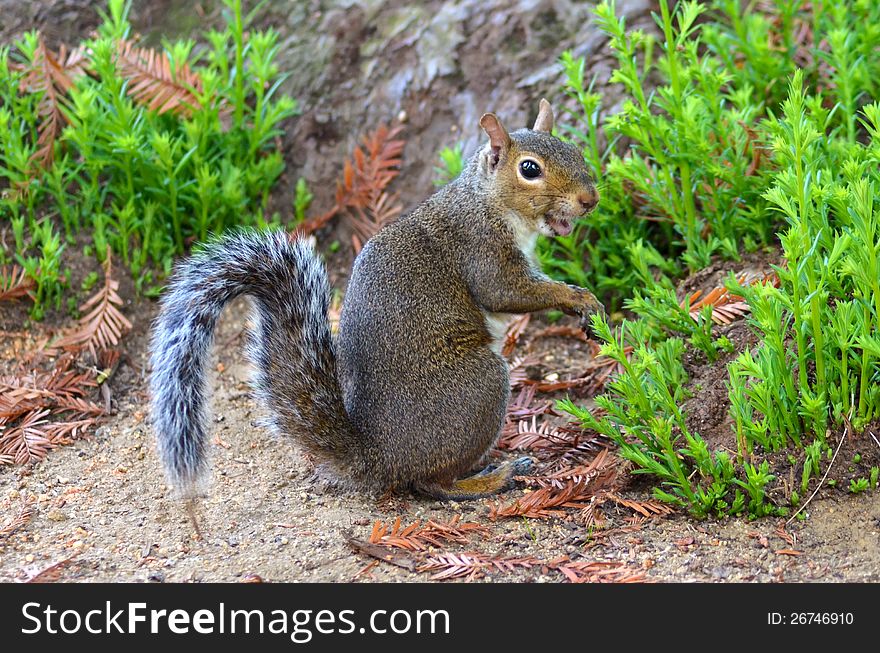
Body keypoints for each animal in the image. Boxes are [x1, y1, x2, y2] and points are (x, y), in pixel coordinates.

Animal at [151, 99, 600, 502]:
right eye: (529, 169)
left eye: (575, 150)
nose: (590, 200)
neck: (486, 199)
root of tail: (381, 456)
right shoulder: (480, 247)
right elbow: (506, 290)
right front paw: (578, 297)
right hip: (482, 386)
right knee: (431, 484)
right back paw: (492, 477)